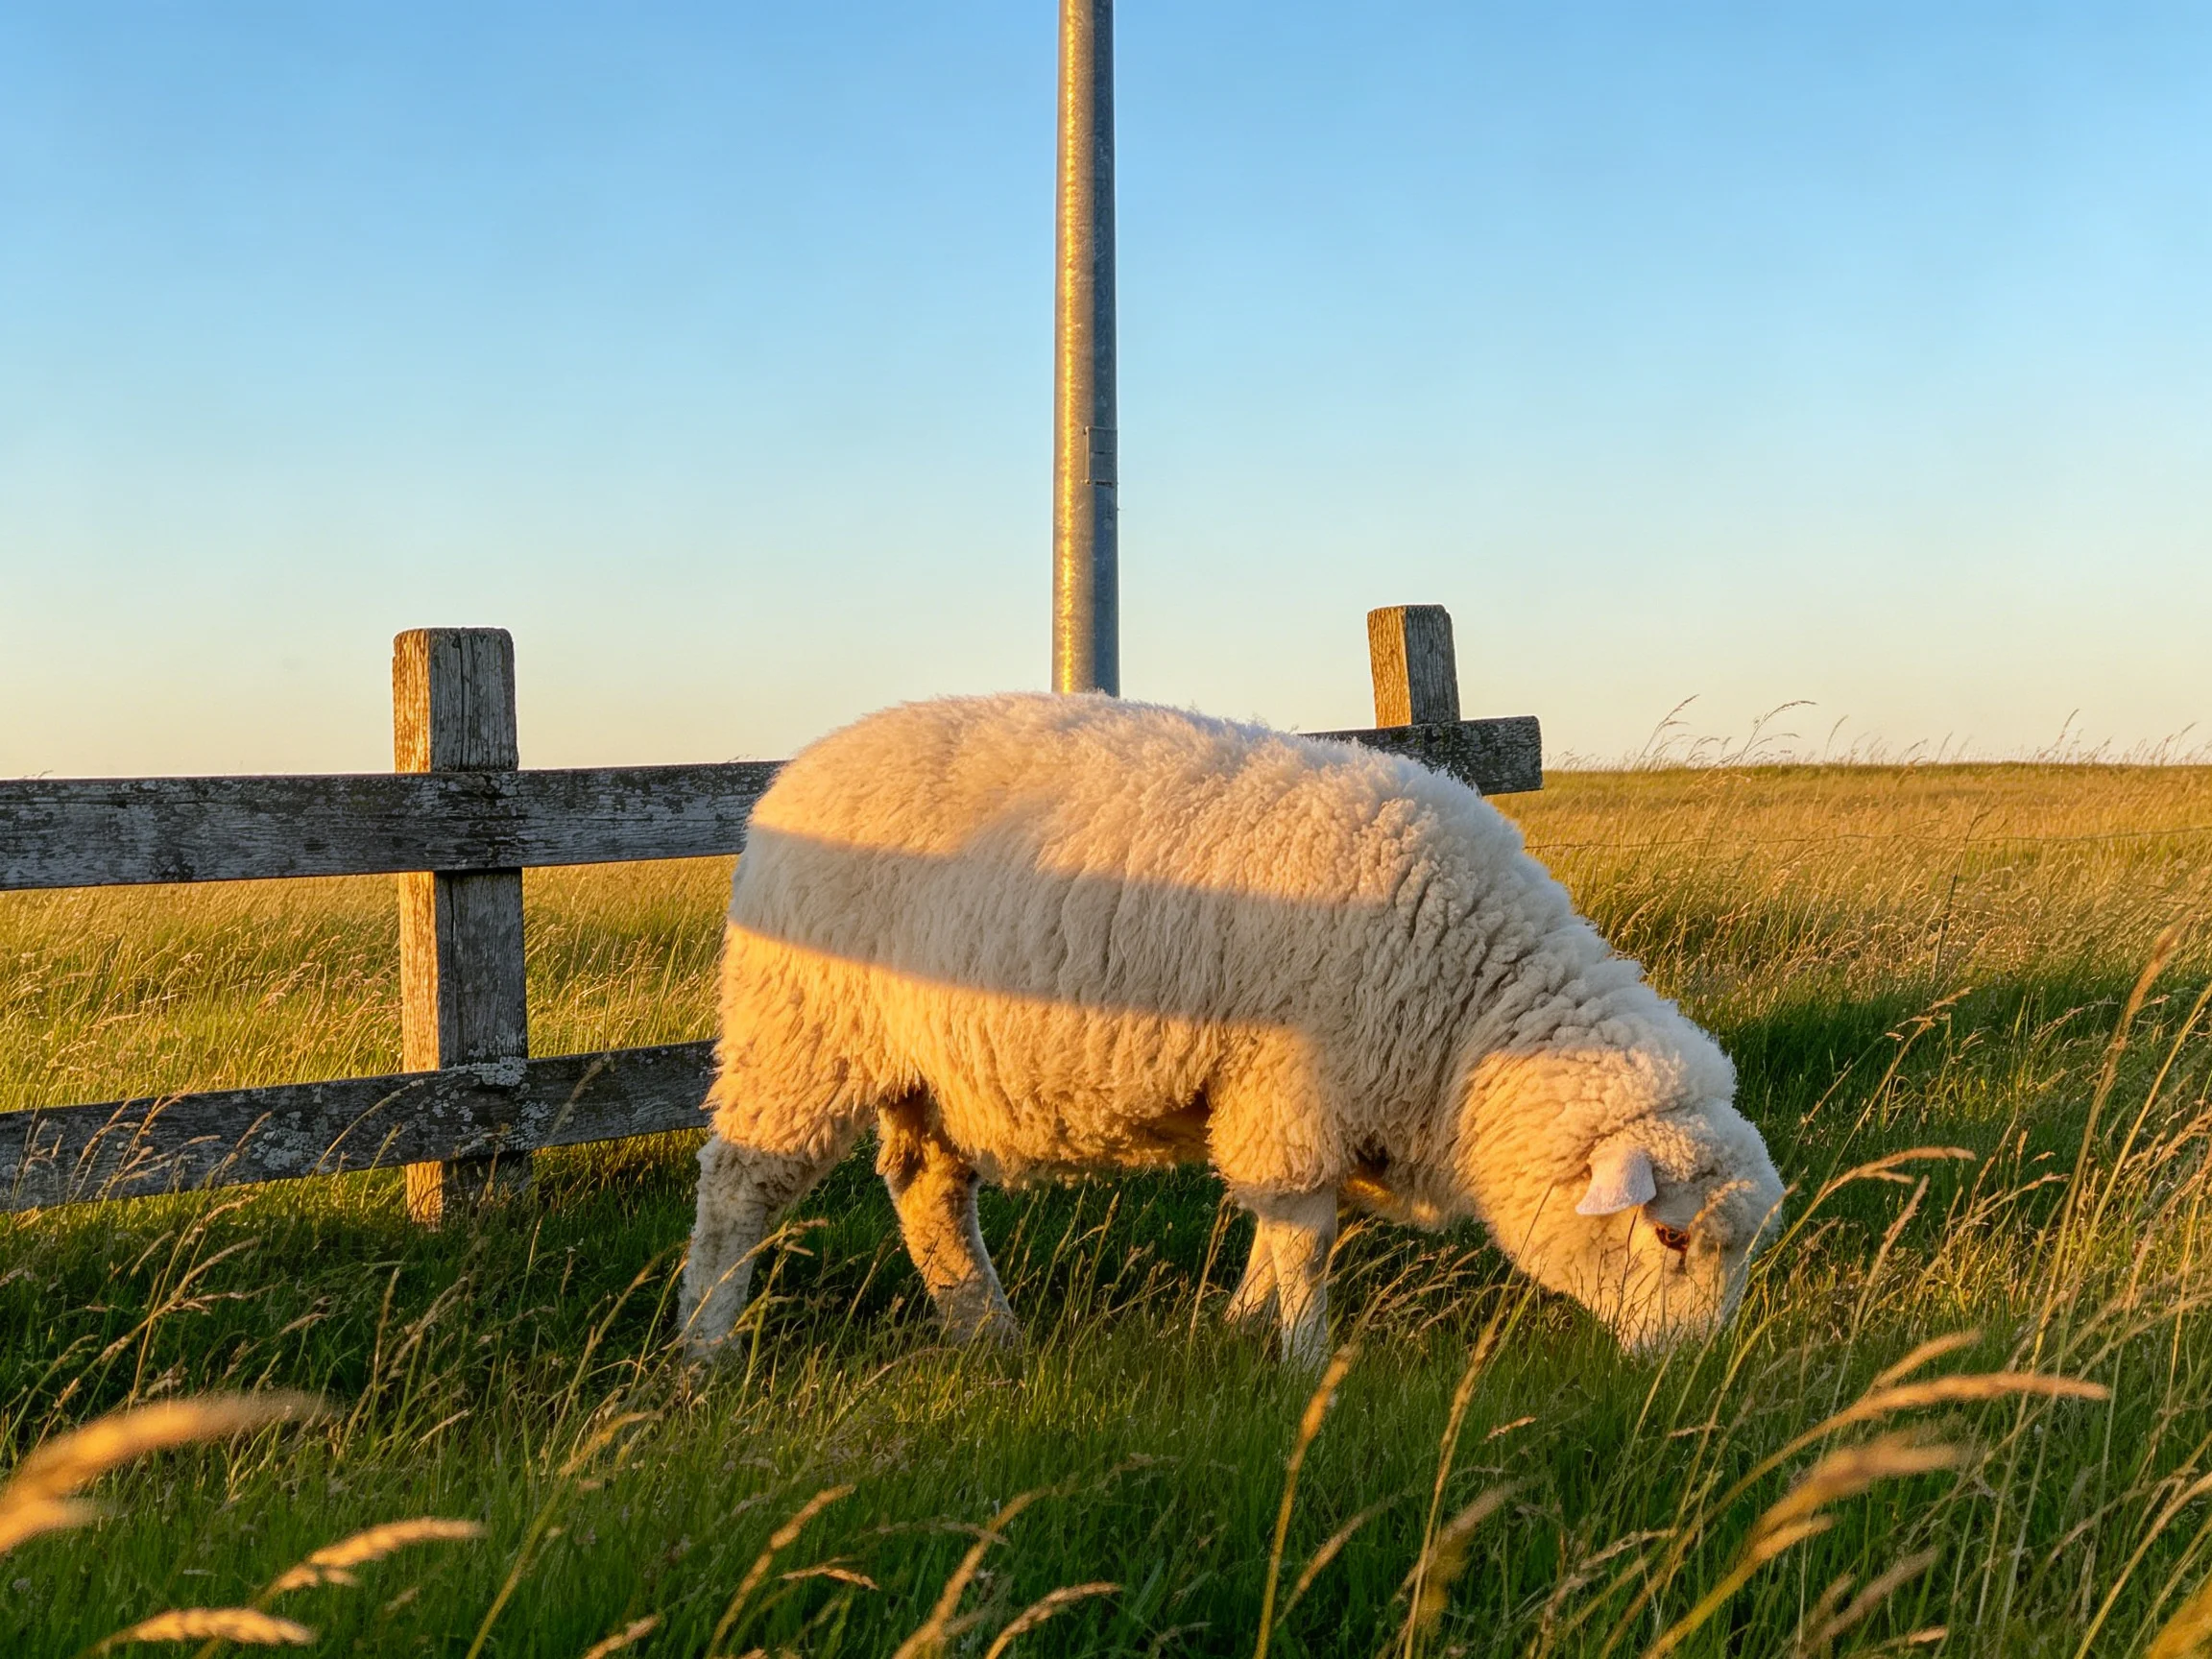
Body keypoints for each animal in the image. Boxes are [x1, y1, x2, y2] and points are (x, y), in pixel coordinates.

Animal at [678, 692, 1783, 1365]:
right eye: (1670, 1234)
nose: (1687, 1371)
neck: (1473, 1014)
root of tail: (796, 772)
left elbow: (1290, 1222)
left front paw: (1242, 1322)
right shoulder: (1291, 1082)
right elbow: (1303, 1230)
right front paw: (1300, 1357)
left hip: (932, 1071)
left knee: (928, 1195)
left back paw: (988, 1335)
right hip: (800, 1035)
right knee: (736, 1189)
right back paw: (705, 1348)